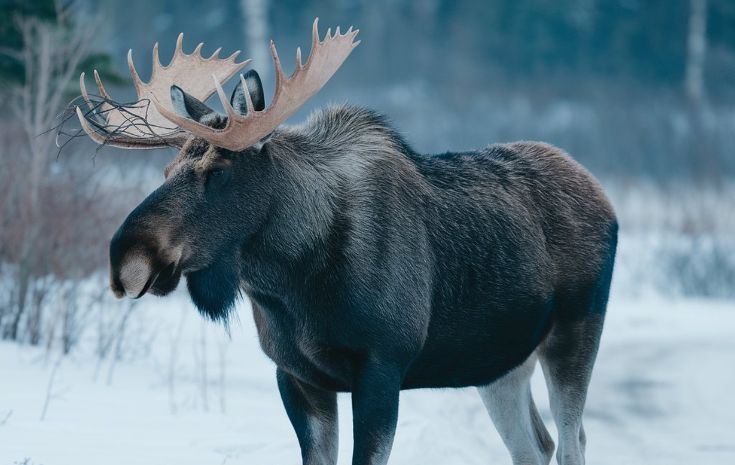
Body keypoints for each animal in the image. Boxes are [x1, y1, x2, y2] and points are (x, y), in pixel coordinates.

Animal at [74, 19, 617, 465]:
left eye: (218, 170)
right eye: (167, 169)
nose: (128, 259)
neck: (290, 282)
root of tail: (603, 196)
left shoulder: (381, 366)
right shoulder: (297, 376)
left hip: (575, 332)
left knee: (573, 441)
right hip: (498, 362)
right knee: (537, 445)